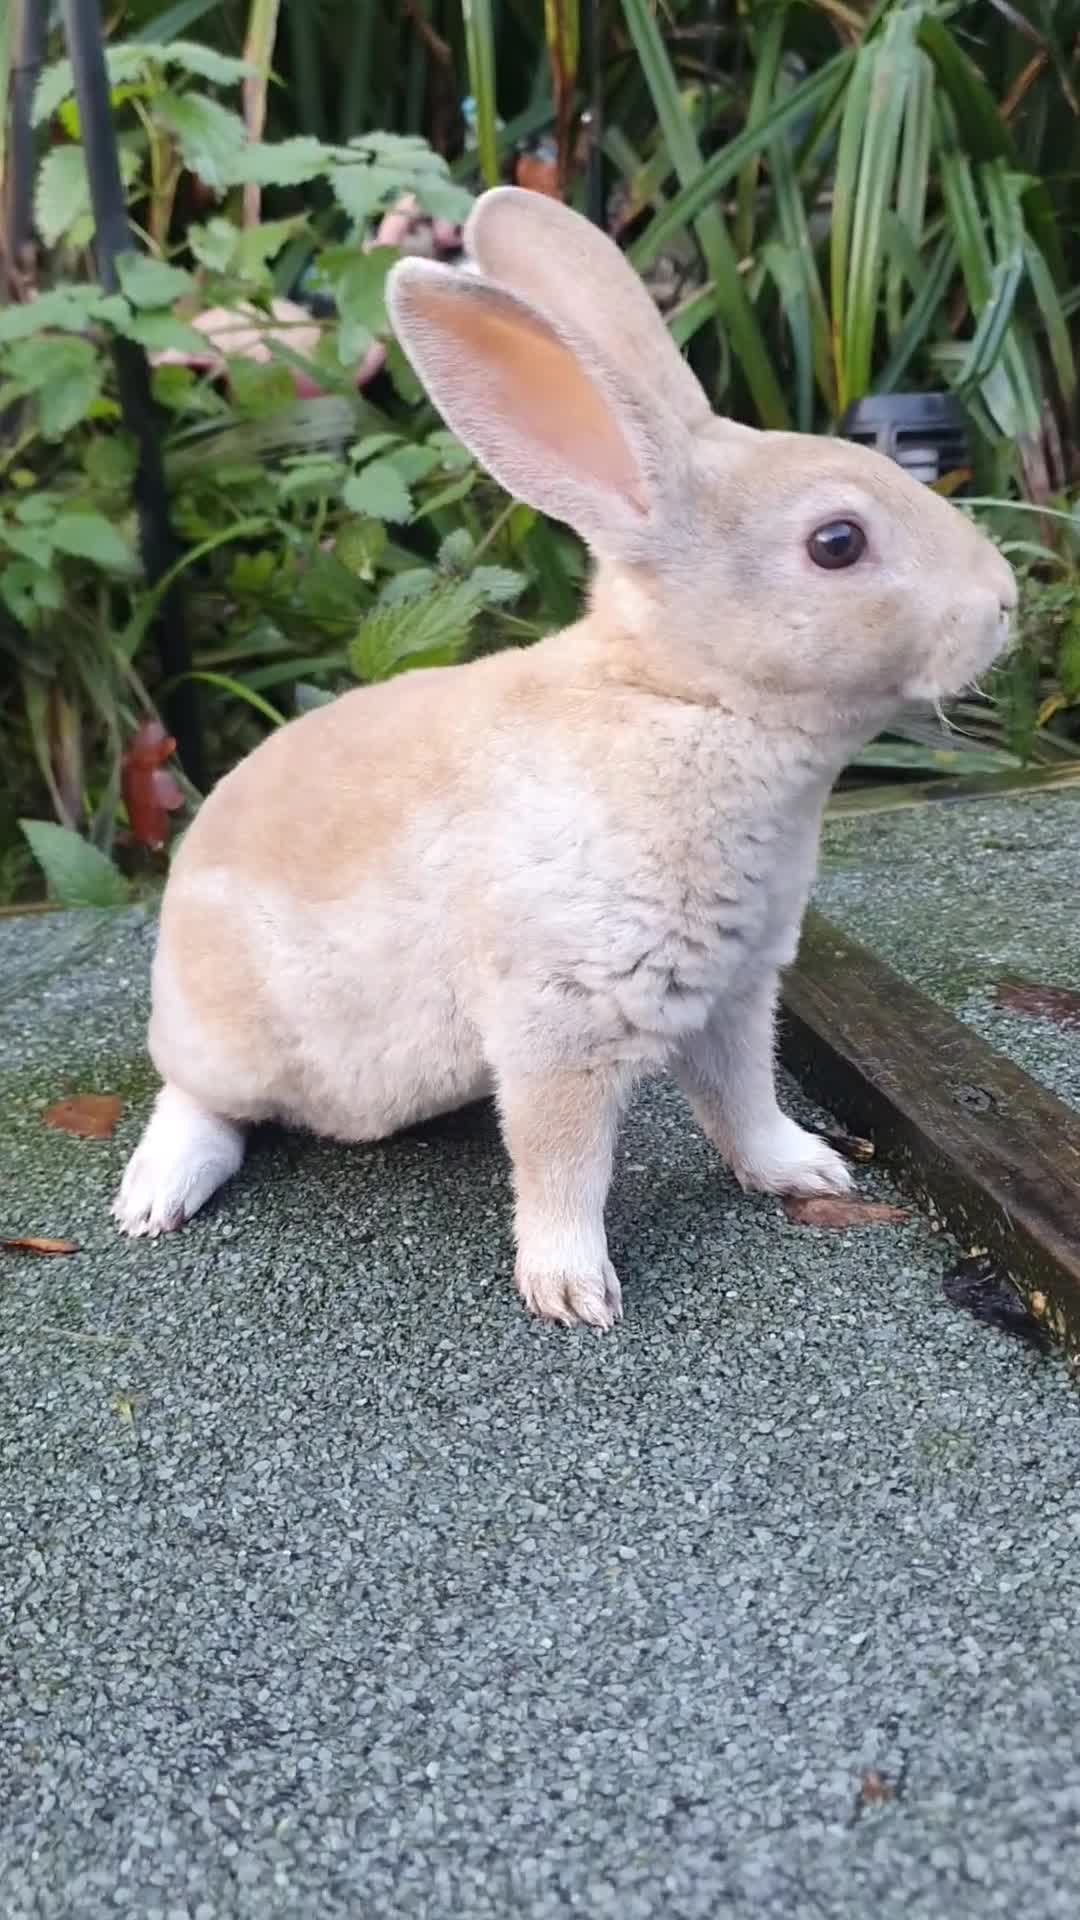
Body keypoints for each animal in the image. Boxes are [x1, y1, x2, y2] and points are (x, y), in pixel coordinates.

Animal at [113, 186, 1016, 1329]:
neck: (684, 700)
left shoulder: (733, 995)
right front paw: (573, 1292)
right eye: (838, 544)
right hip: (229, 1039)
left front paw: (804, 1170)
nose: (1005, 603)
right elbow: (561, 1165)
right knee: (198, 1100)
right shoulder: (562, 1026)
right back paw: (156, 1196)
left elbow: (743, 1101)